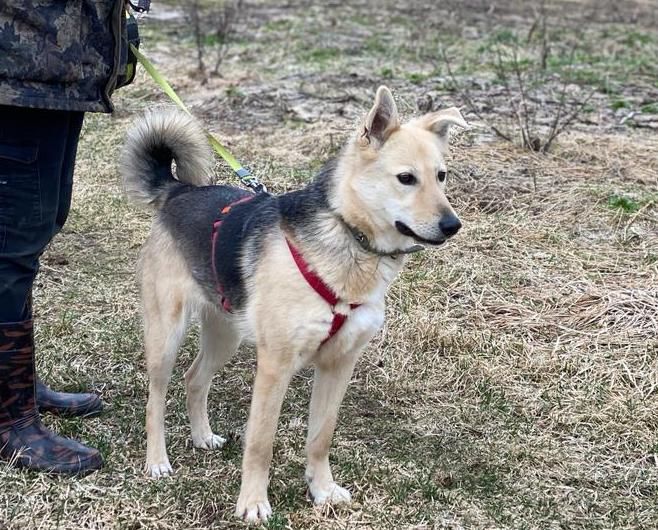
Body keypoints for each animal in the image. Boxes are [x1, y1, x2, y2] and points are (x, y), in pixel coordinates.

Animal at [119, 85, 466, 520]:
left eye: (441, 176)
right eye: (406, 178)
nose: (453, 226)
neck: (349, 238)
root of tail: (178, 191)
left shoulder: (339, 364)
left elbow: (321, 436)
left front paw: (322, 490)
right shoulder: (275, 366)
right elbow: (260, 442)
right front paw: (253, 503)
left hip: (225, 335)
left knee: (195, 378)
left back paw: (202, 436)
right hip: (166, 335)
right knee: (156, 399)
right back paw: (157, 461)